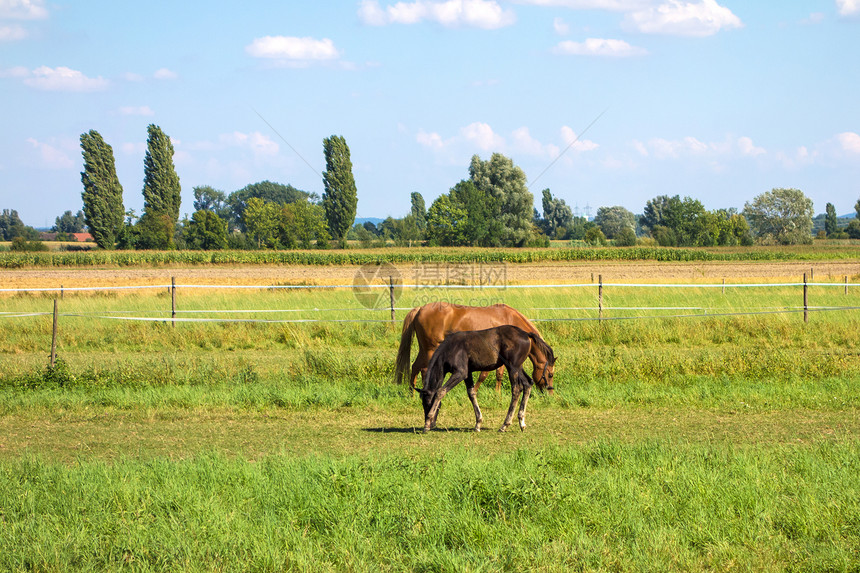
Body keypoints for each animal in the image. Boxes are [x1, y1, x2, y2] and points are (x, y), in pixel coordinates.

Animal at [394, 300, 556, 394]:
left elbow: (498, 374)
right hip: (430, 349)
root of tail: (420, 309)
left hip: (425, 349)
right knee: (423, 369)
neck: (510, 319)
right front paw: (477, 391)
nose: (549, 393)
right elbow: (485, 375)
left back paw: (413, 392)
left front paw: (497, 394)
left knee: (416, 367)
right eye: (550, 375)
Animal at [418, 324, 556, 432]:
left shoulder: (460, 373)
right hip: (517, 367)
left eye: (428, 403)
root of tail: (526, 334)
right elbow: (471, 393)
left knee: (516, 389)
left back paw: (505, 425)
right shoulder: (467, 373)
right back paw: (521, 422)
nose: (432, 424)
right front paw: (478, 424)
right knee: (528, 383)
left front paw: (427, 424)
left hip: (512, 367)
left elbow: (440, 391)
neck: (451, 347)